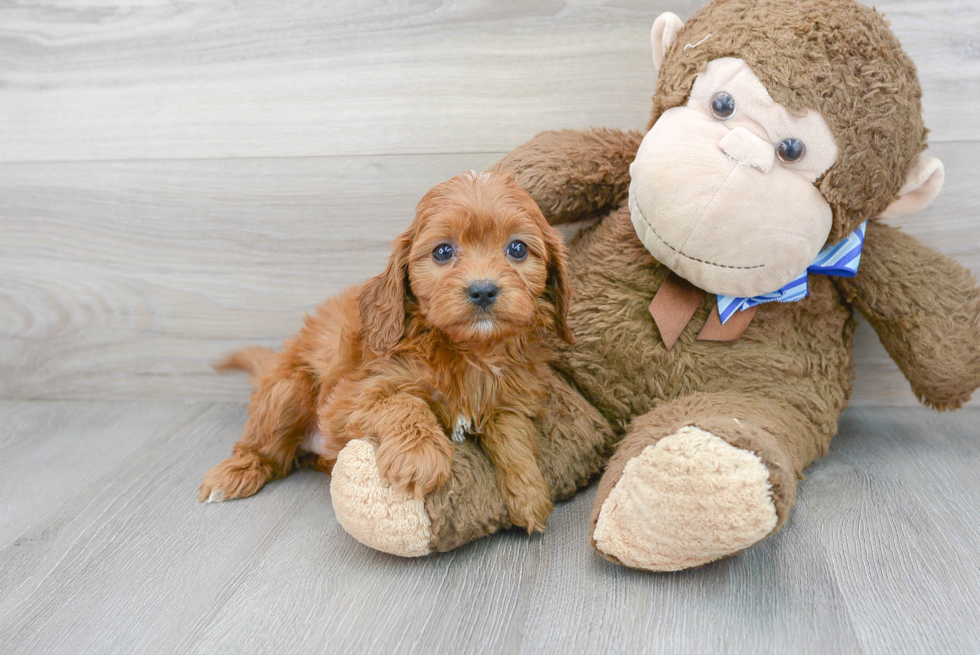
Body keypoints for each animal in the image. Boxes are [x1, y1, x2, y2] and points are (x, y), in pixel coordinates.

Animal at [195, 172, 572, 536]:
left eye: (517, 248)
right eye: (442, 252)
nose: (483, 290)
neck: (470, 351)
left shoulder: (510, 396)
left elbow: (511, 432)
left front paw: (529, 492)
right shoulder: (348, 398)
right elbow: (403, 401)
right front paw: (420, 455)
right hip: (289, 390)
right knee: (264, 447)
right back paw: (234, 473)